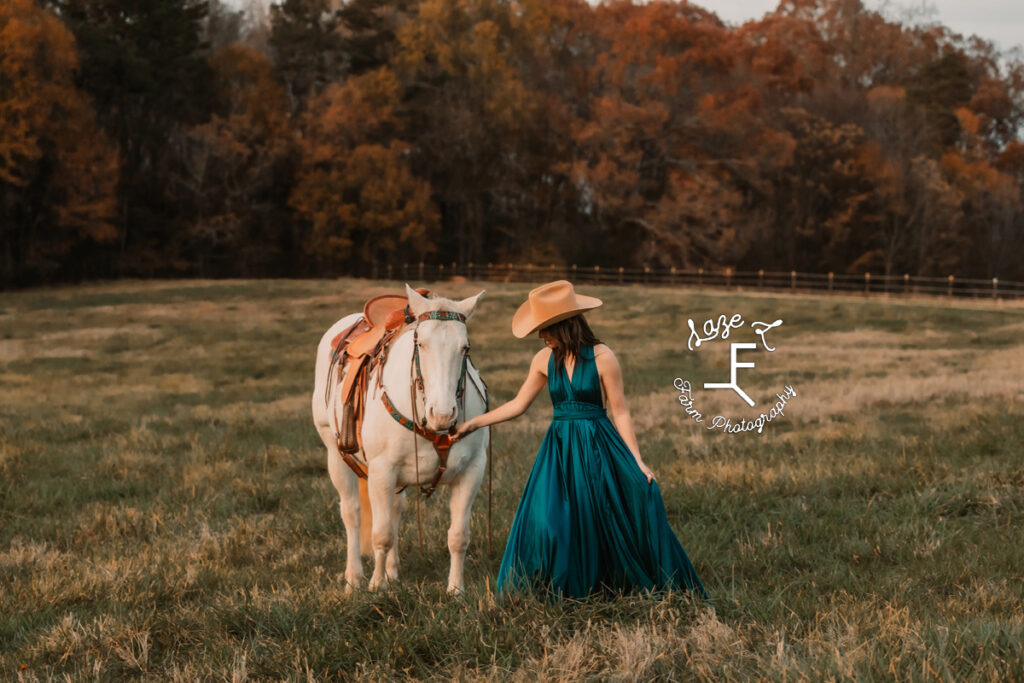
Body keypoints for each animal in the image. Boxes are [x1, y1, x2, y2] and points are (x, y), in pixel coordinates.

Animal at [309, 282, 489, 593]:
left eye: (465, 348)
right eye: (421, 344)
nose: (443, 414)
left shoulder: (472, 471)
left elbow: (458, 536)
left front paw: (455, 590)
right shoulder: (382, 471)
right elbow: (381, 534)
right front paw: (377, 587)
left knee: (394, 510)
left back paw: (392, 571)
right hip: (336, 456)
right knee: (352, 514)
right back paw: (354, 578)